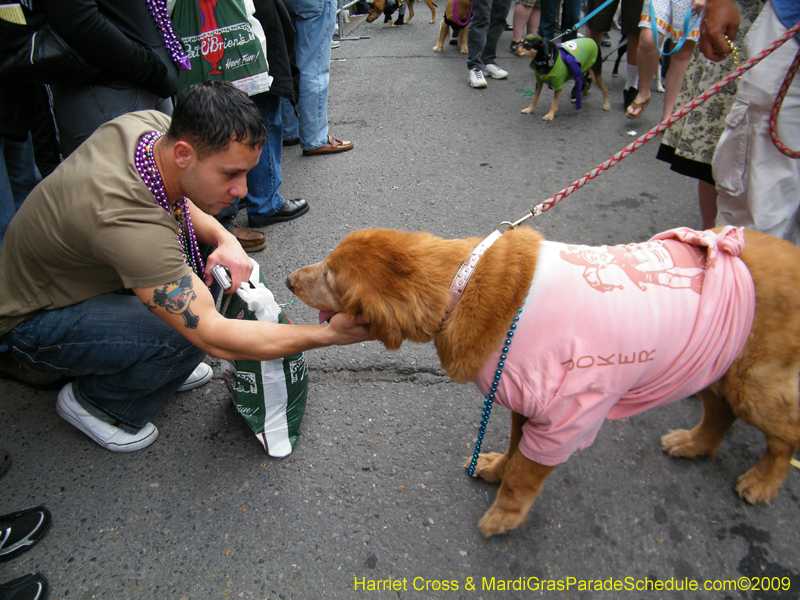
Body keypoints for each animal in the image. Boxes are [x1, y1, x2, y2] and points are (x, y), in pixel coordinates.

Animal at [286, 225, 800, 536]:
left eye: (330, 275)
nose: (289, 280)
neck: (461, 285)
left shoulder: (564, 416)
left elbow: (525, 473)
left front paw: (506, 514)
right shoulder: (523, 398)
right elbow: (516, 452)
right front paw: (496, 469)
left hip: (751, 382)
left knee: (784, 435)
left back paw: (764, 480)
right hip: (713, 362)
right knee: (720, 412)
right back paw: (695, 443)